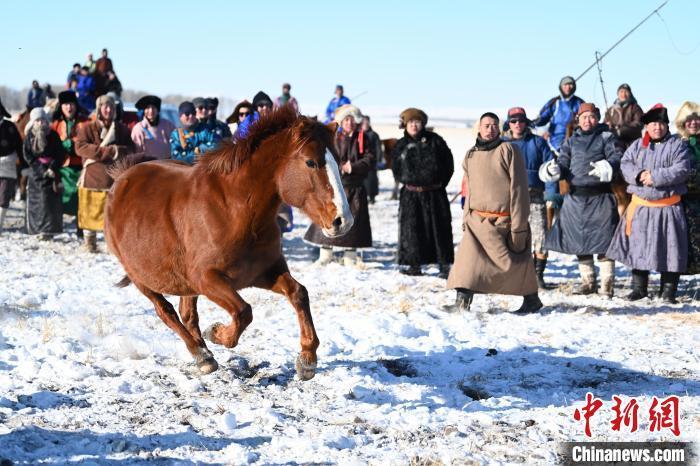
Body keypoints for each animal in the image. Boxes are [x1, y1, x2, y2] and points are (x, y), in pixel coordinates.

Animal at [102, 107, 356, 380]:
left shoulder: (264, 272)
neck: (236, 211)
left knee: (187, 314)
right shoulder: (206, 279)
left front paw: (307, 359)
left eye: (338, 162)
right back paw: (201, 355)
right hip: (140, 278)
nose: (343, 221)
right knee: (166, 311)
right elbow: (244, 311)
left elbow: (299, 293)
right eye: (311, 162)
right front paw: (217, 333)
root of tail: (122, 178)